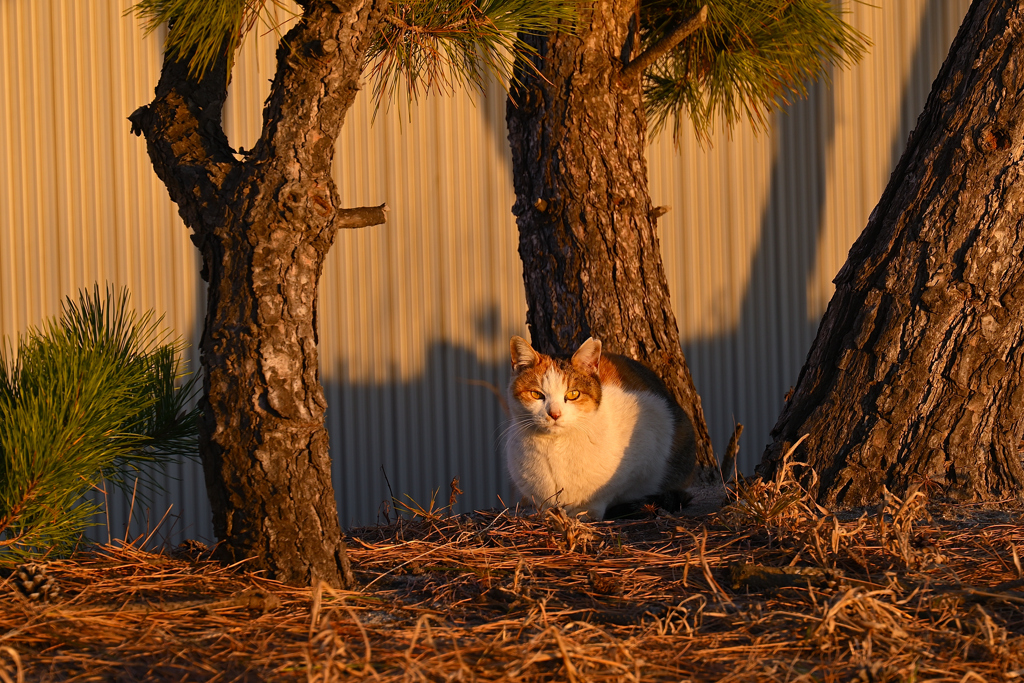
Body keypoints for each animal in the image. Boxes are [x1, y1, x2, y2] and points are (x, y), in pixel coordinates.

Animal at [503, 335, 696, 518]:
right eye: (536, 394)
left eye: (573, 394)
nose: (555, 414)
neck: (555, 446)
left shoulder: (649, 442)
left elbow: (608, 492)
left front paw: (586, 511)